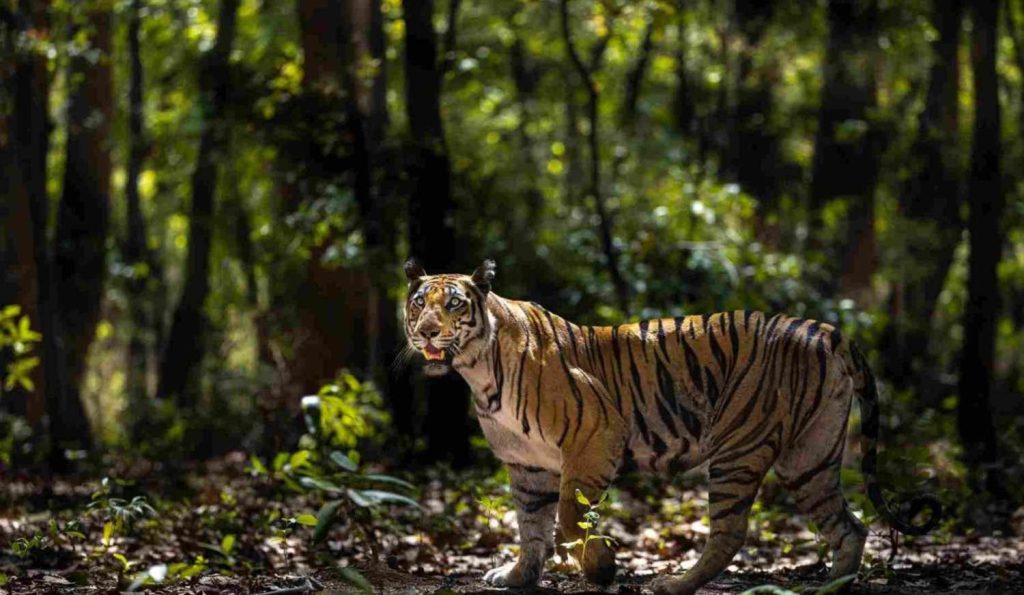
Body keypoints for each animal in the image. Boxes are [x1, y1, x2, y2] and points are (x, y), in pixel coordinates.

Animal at [402, 258, 939, 595]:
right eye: (419, 303)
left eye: (454, 305)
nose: (426, 331)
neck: (477, 371)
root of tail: (819, 327)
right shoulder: (526, 465)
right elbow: (531, 527)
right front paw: (518, 576)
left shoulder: (594, 436)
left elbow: (568, 521)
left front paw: (602, 568)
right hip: (810, 457)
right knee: (850, 526)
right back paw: (832, 586)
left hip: (737, 447)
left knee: (730, 531)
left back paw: (675, 584)